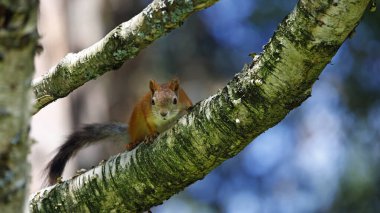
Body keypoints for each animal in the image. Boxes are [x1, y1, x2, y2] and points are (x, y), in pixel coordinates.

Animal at [45, 79, 193, 186]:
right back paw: (134, 143)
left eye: (175, 100)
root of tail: (129, 132)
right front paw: (151, 135)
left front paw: (188, 110)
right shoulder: (146, 113)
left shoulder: (185, 101)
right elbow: (150, 126)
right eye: (153, 101)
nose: (163, 114)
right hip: (137, 124)